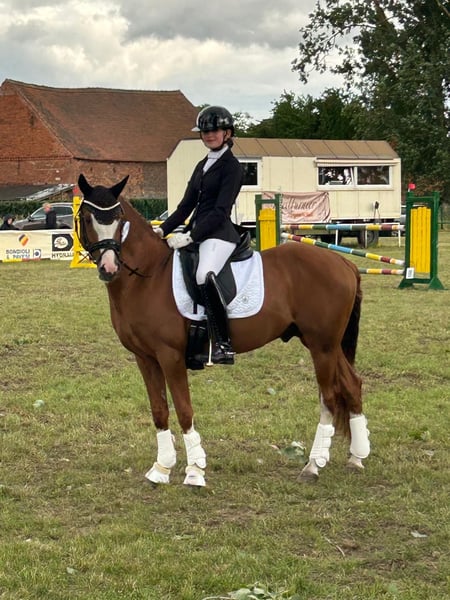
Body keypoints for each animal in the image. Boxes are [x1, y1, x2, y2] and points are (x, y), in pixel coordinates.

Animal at [76, 174, 370, 487]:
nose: (109, 267)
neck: (147, 276)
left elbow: (184, 409)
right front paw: (162, 468)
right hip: (327, 344)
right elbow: (159, 410)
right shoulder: (145, 358)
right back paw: (356, 458)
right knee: (352, 385)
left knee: (329, 397)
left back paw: (313, 466)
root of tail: (344, 262)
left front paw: (194, 471)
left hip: (321, 345)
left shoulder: (170, 356)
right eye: (87, 217)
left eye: (119, 218)